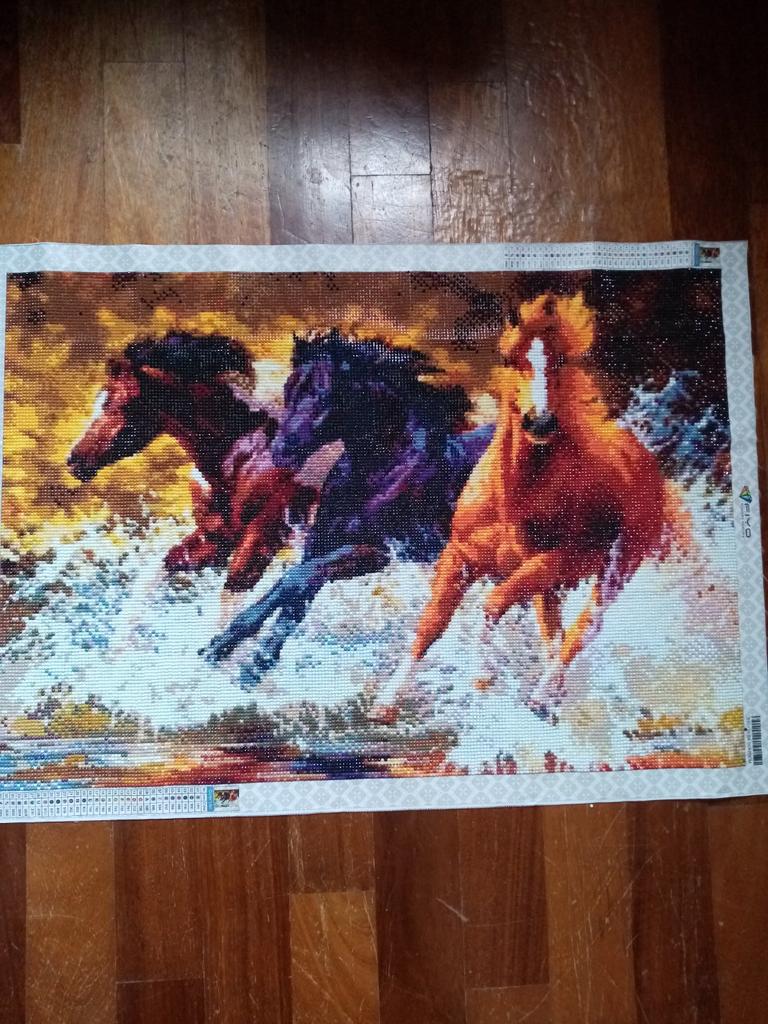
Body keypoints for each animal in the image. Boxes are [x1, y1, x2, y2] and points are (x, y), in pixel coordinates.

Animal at [203, 328, 493, 685]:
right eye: (289, 388)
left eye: (322, 394)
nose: (280, 451)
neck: (378, 470)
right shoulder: (321, 545)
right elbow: (296, 597)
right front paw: (242, 659)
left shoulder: (375, 552)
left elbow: (294, 581)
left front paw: (235, 653)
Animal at [411, 292, 669, 716]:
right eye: (510, 358)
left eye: (561, 360)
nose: (540, 422)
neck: (513, 499)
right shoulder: (461, 555)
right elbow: (431, 624)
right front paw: (383, 706)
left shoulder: (559, 560)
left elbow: (492, 605)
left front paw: (481, 677)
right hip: (547, 584)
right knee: (554, 632)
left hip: (614, 568)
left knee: (583, 628)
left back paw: (540, 697)